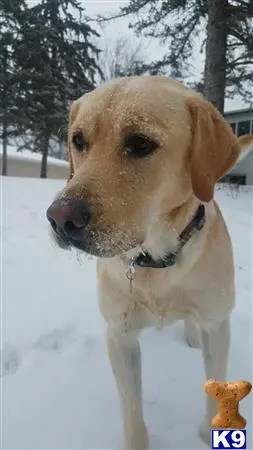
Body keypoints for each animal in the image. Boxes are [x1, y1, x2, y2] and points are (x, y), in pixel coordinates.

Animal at [46, 75, 251, 448]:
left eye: (141, 143)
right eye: (78, 140)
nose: (60, 219)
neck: (155, 260)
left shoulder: (217, 323)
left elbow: (216, 383)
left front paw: (211, 431)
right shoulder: (120, 335)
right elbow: (132, 407)